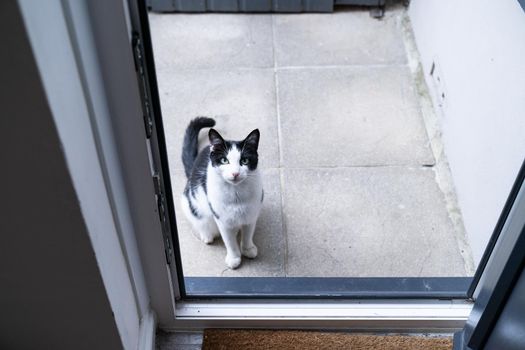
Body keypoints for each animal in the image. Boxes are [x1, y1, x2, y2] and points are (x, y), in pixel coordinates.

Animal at [180, 117, 262, 268]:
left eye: (244, 160)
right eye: (224, 160)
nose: (235, 173)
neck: (236, 194)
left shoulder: (251, 214)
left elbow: (248, 234)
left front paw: (248, 249)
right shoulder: (222, 219)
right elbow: (229, 241)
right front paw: (234, 258)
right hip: (190, 203)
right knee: (198, 220)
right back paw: (206, 235)